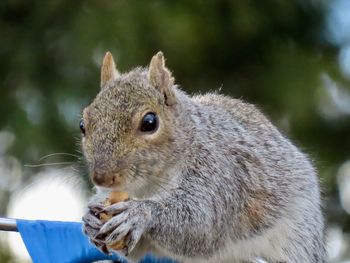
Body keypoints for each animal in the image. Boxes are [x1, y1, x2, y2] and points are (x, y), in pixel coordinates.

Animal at [81, 51, 326, 263]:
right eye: (83, 124)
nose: (102, 178)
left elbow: (201, 224)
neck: (148, 185)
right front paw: (90, 219)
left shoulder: (220, 174)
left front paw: (139, 213)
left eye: (150, 122)